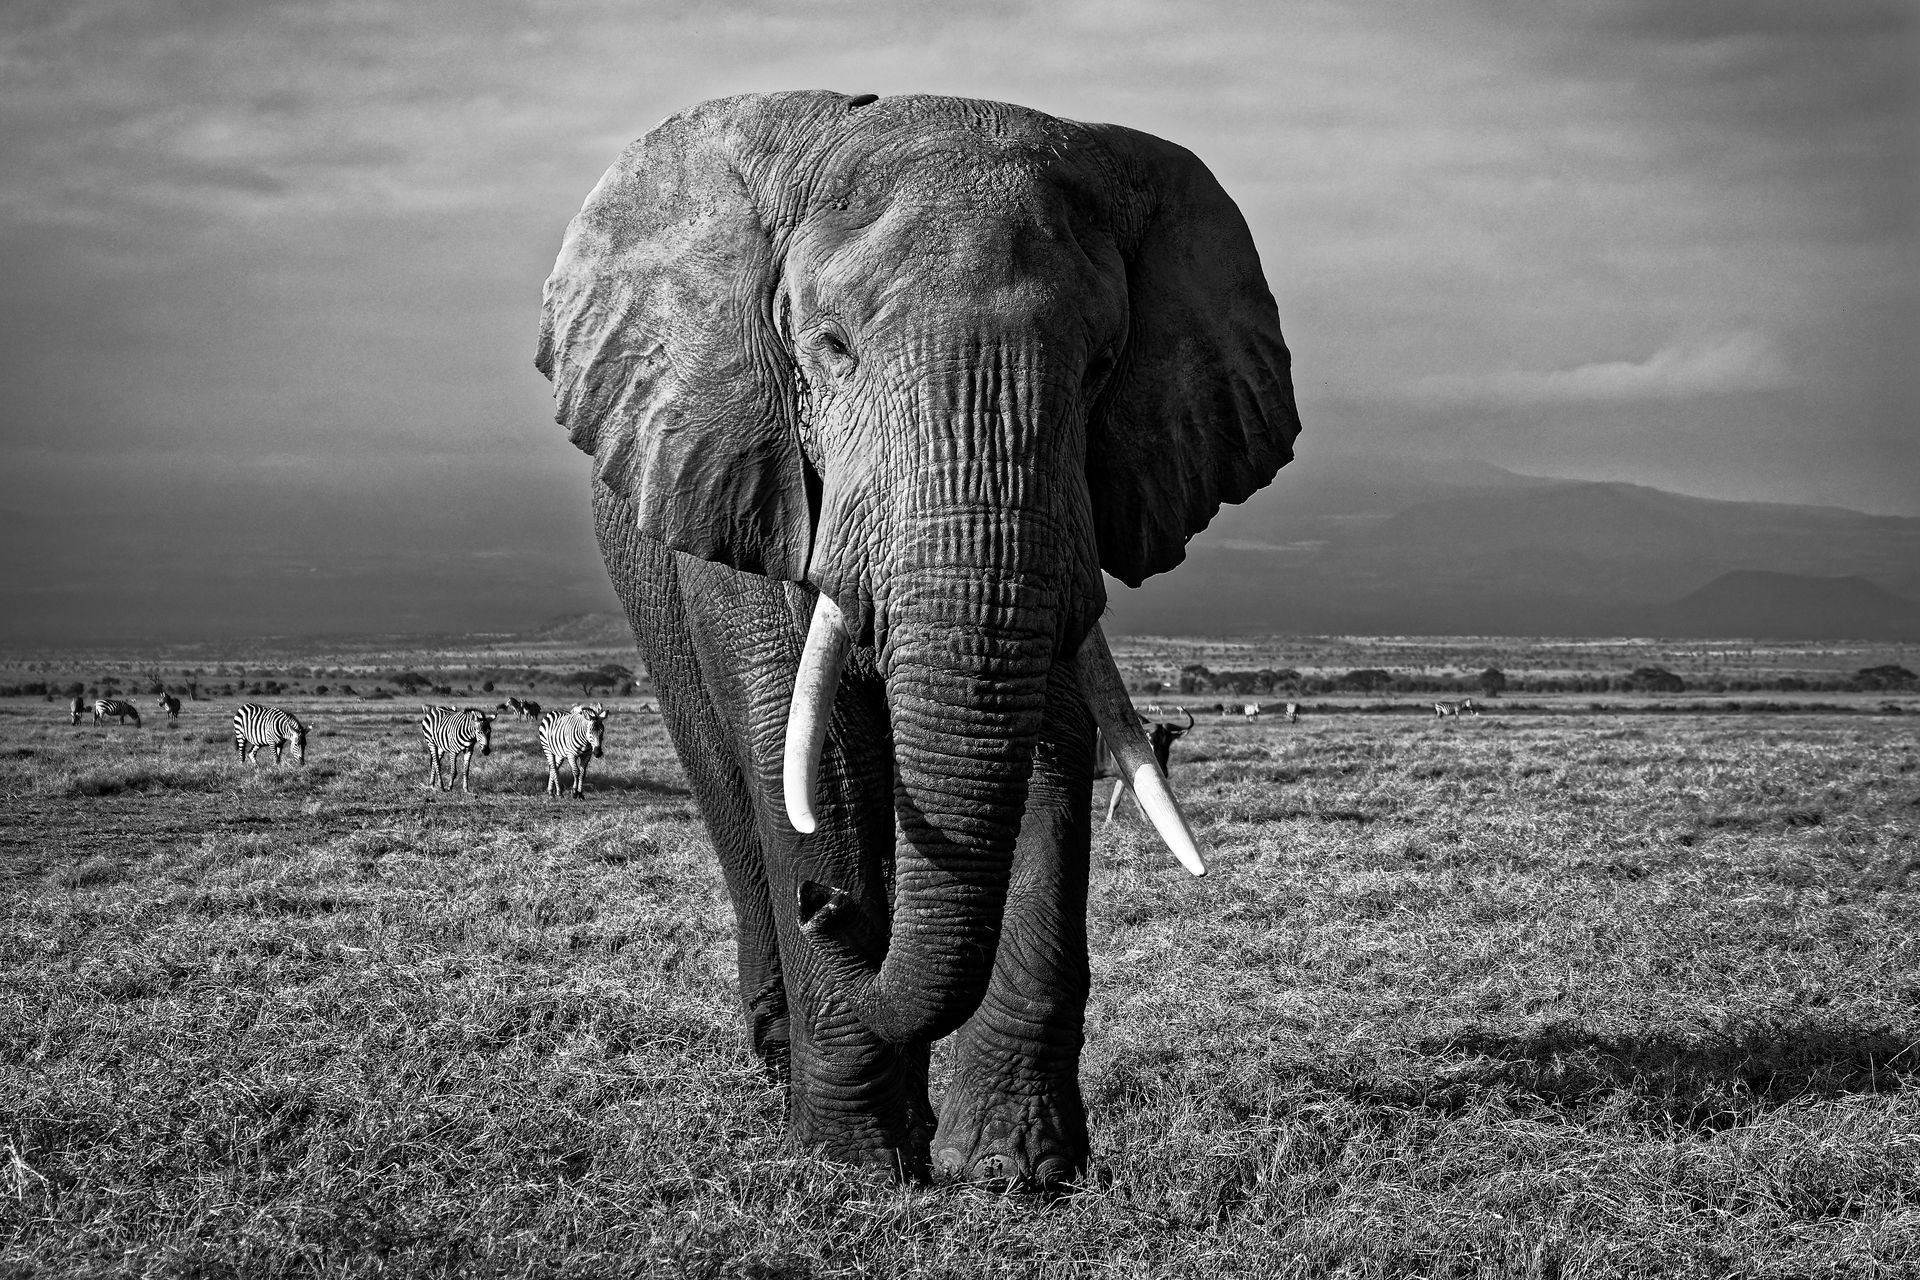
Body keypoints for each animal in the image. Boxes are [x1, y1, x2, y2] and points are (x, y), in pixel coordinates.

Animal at [536, 91, 1300, 1191]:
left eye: (1101, 368)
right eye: (828, 348)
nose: (825, 907)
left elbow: (1045, 736)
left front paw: (1019, 1171)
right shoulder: (754, 476)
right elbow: (812, 756)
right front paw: (852, 1168)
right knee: (732, 782)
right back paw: (785, 1055)